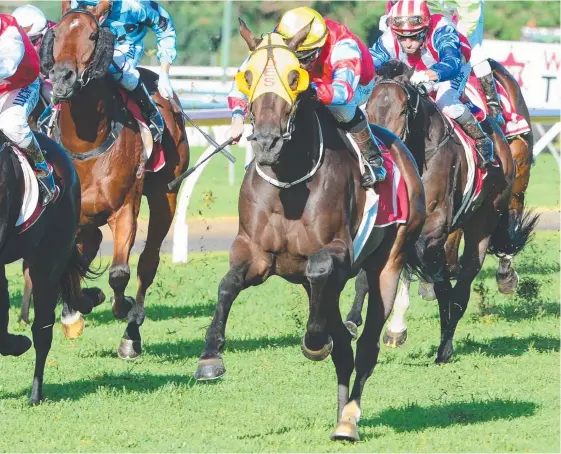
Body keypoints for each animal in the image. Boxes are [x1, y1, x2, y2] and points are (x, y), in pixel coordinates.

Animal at [38, 6, 190, 358]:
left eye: (93, 35)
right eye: (58, 32)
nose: (62, 78)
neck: (86, 145)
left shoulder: (125, 207)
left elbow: (120, 273)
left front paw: (123, 309)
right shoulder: (71, 215)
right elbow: (69, 266)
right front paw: (79, 307)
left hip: (165, 194)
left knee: (147, 263)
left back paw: (131, 333)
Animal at [192, 23, 428, 442]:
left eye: (294, 76)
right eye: (247, 74)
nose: (266, 141)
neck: (289, 181)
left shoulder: (338, 254)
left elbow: (320, 270)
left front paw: (315, 342)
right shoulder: (255, 252)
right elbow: (227, 284)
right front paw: (210, 357)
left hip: (389, 260)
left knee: (366, 345)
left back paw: (349, 419)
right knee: (344, 347)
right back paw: (340, 410)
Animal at [344, 61, 536, 362]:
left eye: (403, 109)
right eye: (370, 109)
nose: (383, 151)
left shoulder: (435, 223)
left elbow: (430, 268)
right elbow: (372, 274)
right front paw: (355, 320)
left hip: (489, 215)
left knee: (464, 284)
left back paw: (447, 341)